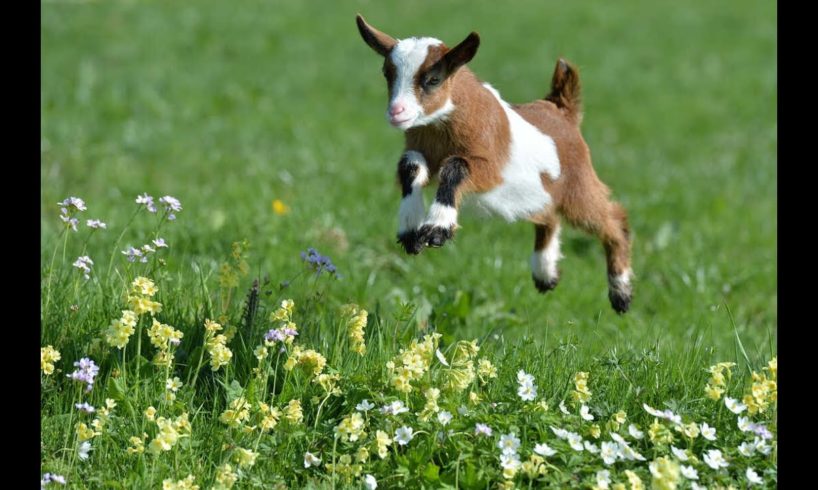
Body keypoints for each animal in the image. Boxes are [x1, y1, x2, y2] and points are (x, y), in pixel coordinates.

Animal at [355, 15, 633, 313]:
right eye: (387, 74)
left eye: (433, 79)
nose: (396, 112)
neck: (442, 126)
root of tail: (562, 109)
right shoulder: (420, 149)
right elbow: (410, 166)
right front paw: (410, 229)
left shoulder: (490, 168)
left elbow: (455, 166)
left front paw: (438, 228)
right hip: (540, 192)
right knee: (549, 216)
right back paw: (545, 274)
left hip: (578, 185)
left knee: (612, 219)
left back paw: (621, 292)